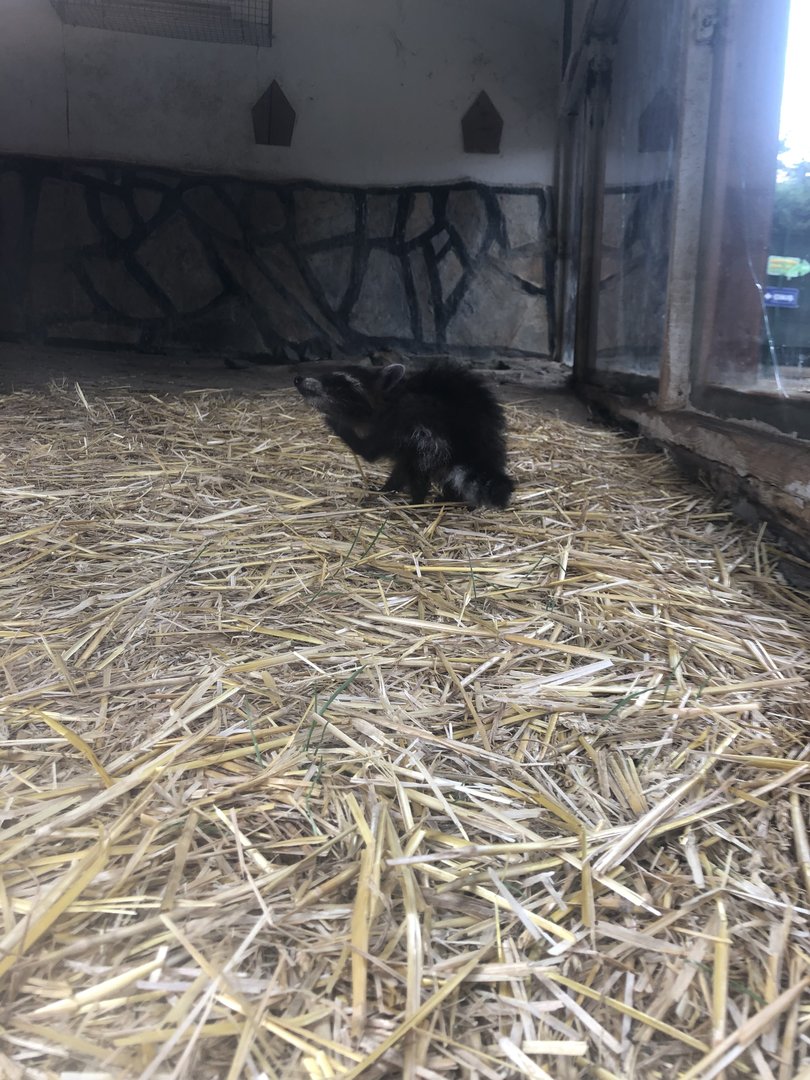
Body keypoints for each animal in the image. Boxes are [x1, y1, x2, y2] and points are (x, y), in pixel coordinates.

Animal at [293, 361, 514, 508]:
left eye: (339, 385)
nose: (298, 379)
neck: (387, 402)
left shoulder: (394, 426)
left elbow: (368, 452)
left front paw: (338, 425)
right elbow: (395, 467)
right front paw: (388, 488)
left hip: (430, 439)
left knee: (417, 470)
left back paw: (417, 500)